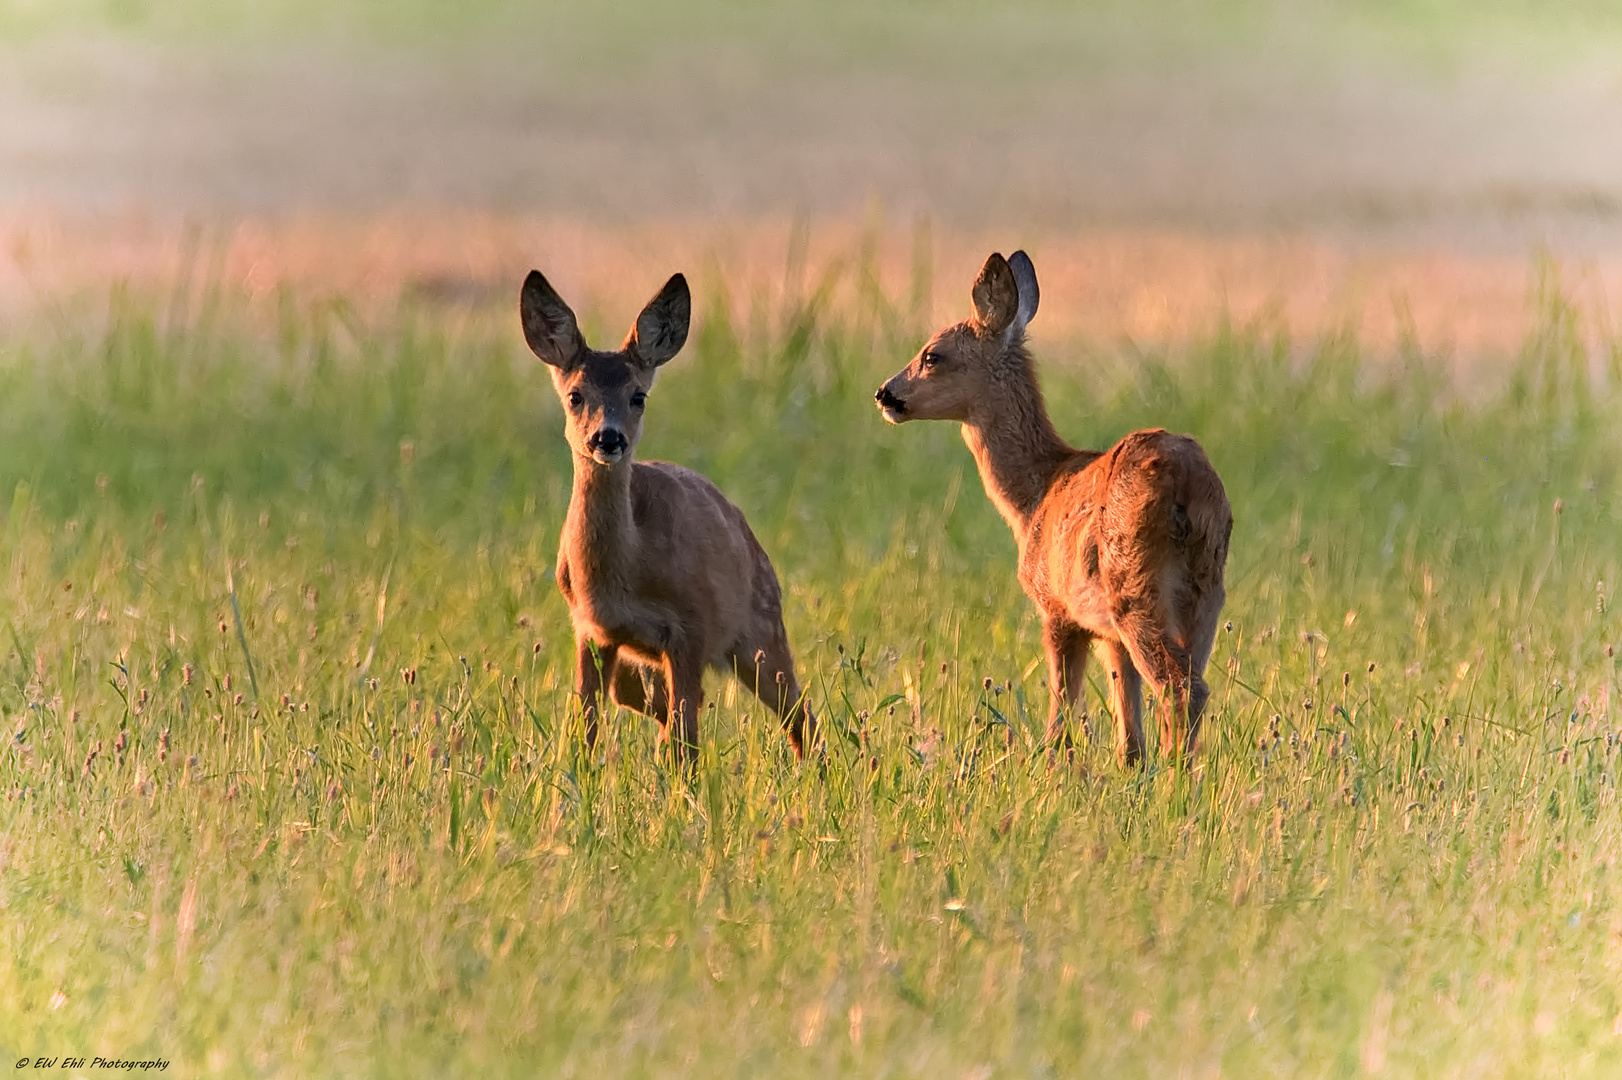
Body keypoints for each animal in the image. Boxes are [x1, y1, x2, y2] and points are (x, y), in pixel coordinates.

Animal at [522, 269, 817, 755]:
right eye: (575, 395)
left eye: (639, 396)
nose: (608, 438)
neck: (621, 576)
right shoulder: (590, 630)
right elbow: (585, 729)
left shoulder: (690, 627)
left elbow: (686, 739)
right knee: (650, 702)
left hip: (760, 627)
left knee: (798, 714)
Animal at [875, 248, 1226, 762]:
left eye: (932, 354)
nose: (885, 393)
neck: (1034, 497)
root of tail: (1185, 484)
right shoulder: (1107, 634)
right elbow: (1127, 722)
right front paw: (1131, 767)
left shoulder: (1056, 608)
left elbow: (1062, 703)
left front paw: (1053, 759)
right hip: (1207, 591)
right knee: (1193, 681)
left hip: (1134, 587)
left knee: (1178, 684)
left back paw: (1177, 772)